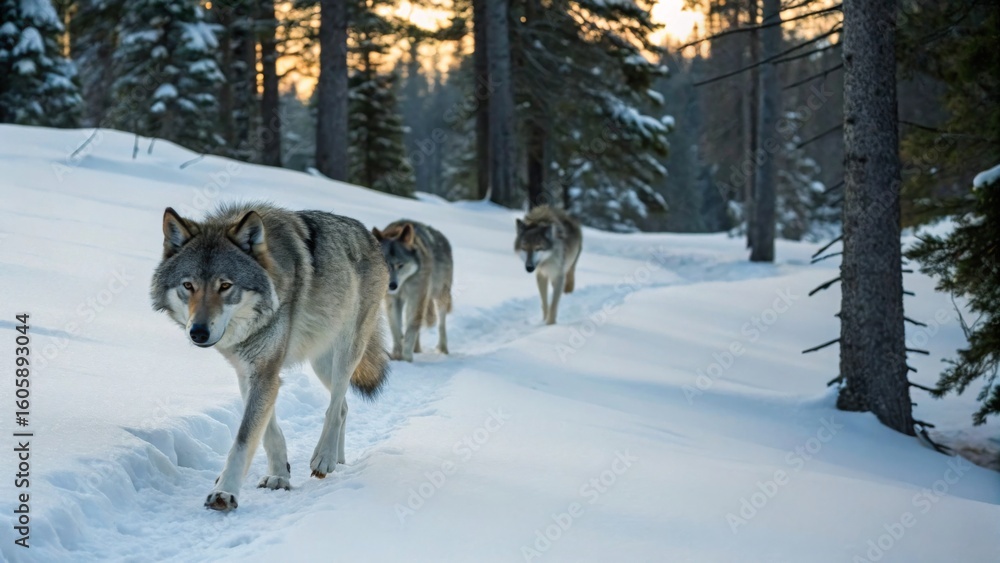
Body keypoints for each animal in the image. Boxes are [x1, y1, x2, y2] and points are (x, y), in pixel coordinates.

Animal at [150, 202, 389, 512]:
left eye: (225, 286)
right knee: (345, 405)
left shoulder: (266, 371)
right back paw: (338, 458)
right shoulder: (250, 372)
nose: (198, 332)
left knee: (335, 406)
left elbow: (243, 440)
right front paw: (279, 475)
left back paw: (324, 457)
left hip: (346, 352)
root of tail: (369, 235)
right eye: (188, 285)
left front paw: (224, 492)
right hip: (321, 361)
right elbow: (267, 432)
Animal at [371, 220, 453, 362]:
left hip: (439, 295)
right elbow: (396, 330)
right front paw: (397, 355)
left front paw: (407, 357)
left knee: (441, 323)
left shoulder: (416, 297)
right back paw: (417, 349)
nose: (392, 286)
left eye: (400, 265)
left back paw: (442, 349)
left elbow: (411, 329)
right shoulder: (393, 301)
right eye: (385, 264)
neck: (404, 283)